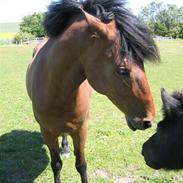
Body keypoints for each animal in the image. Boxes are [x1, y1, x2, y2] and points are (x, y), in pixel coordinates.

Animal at [25, 0, 159, 183]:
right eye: (122, 70)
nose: (148, 120)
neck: (56, 92)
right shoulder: (47, 132)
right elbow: (56, 165)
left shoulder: (81, 130)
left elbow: (81, 165)